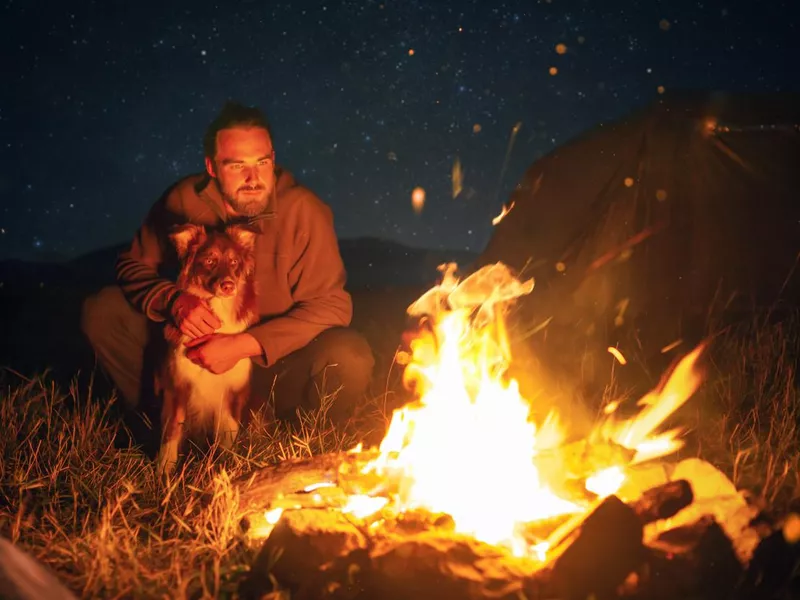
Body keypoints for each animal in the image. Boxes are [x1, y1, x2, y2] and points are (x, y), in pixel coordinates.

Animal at [155, 223, 258, 476]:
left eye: (234, 262)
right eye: (209, 261)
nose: (228, 286)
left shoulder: (232, 393)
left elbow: (228, 435)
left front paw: (227, 467)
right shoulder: (176, 387)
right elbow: (172, 430)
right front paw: (164, 470)